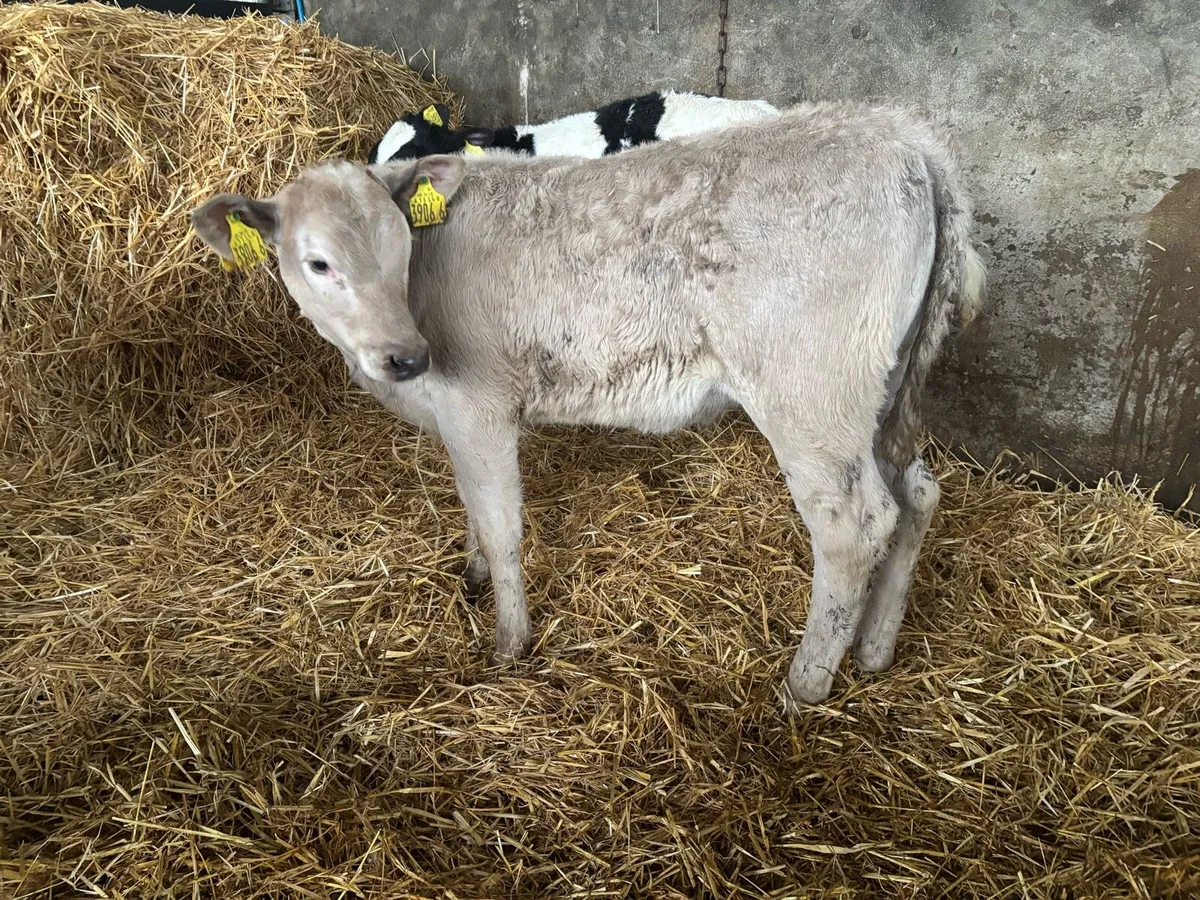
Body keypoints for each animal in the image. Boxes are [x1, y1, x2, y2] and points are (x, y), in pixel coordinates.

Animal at [193, 101, 986, 709]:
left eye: (399, 248)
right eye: (318, 262)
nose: (407, 356)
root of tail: (901, 134)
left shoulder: (478, 403)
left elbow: (503, 526)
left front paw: (508, 642)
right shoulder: (454, 419)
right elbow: (470, 507)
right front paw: (472, 574)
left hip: (812, 395)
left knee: (856, 525)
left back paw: (806, 683)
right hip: (881, 391)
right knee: (916, 494)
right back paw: (876, 649)